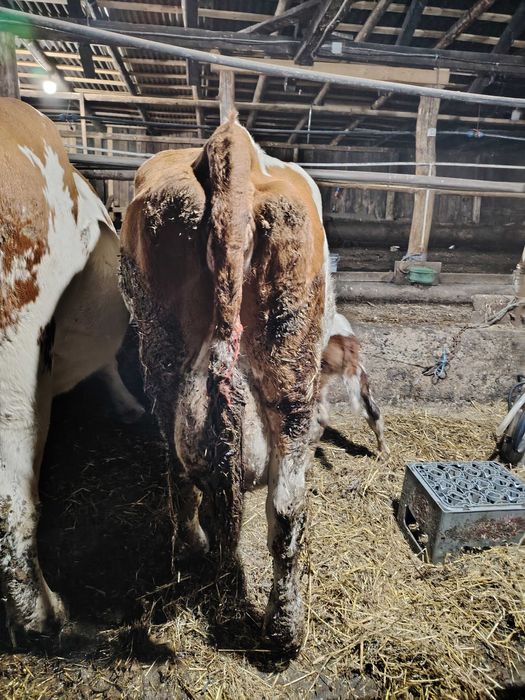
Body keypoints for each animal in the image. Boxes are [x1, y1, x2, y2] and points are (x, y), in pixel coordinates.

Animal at [119, 114, 335, 654]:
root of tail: (229, 146)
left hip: (165, 355)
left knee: (180, 467)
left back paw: (192, 550)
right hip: (292, 369)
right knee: (286, 505)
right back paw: (284, 630)